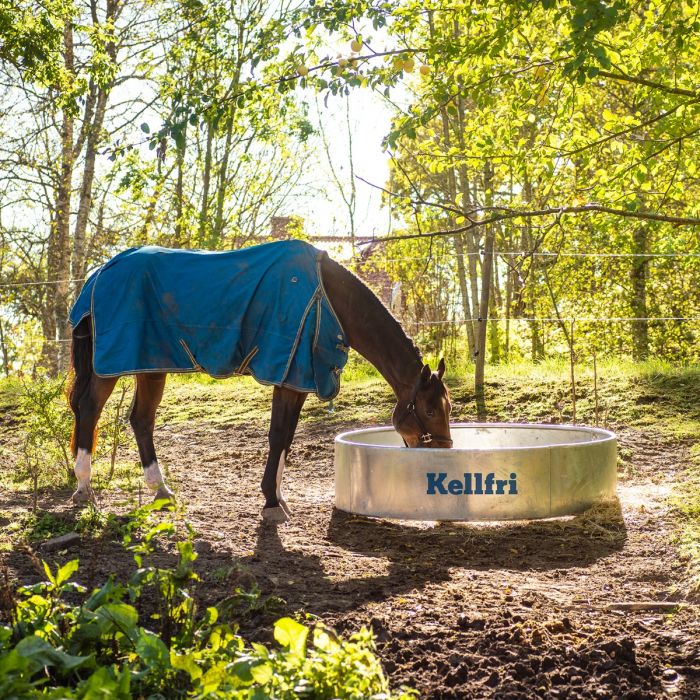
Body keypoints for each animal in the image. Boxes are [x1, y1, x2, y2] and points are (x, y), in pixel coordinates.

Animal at [68, 241, 452, 520]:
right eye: (430, 410)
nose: (444, 452)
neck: (325, 296)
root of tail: (100, 273)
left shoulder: (297, 381)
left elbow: (287, 439)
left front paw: (278, 497)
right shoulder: (288, 375)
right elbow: (278, 435)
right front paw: (271, 502)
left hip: (151, 364)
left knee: (141, 420)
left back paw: (160, 490)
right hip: (110, 365)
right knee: (90, 409)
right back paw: (85, 488)